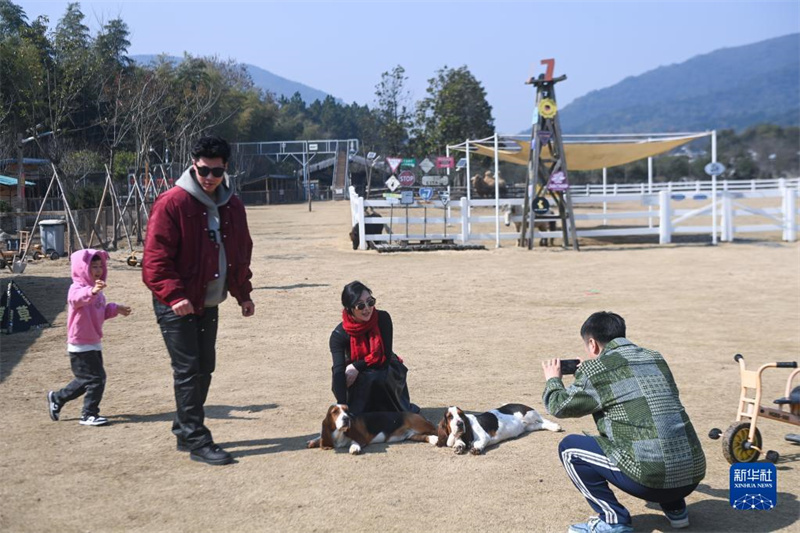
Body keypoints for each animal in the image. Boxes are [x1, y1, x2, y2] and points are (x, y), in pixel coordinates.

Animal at [306, 404, 438, 454]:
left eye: (346, 410)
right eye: (335, 412)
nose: (346, 418)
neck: (339, 433)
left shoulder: (362, 438)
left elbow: (354, 441)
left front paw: (354, 448)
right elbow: (320, 436)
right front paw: (313, 441)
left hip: (421, 425)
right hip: (412, 435)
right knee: (426, 436)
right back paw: (434, 440)